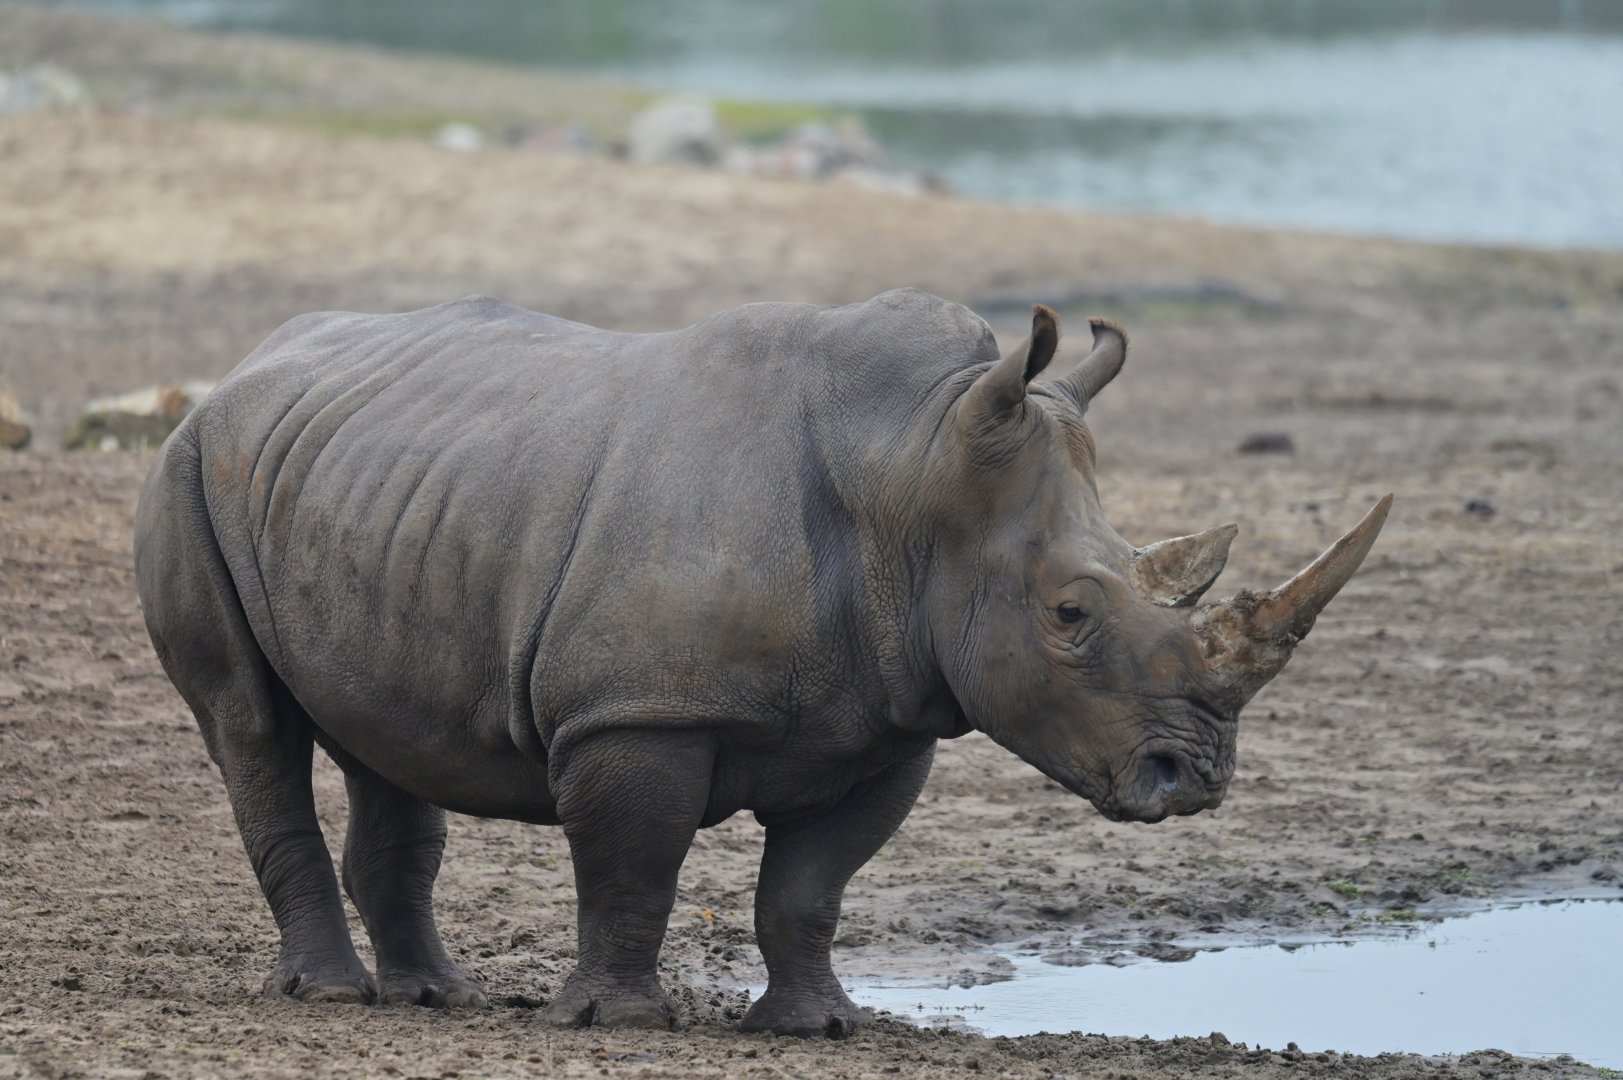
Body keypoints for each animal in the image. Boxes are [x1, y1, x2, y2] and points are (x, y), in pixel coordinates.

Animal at [134, 288, 1389, 1037]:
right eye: (1072, 612)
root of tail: (243, 367)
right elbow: (634, 865)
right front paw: (621, 1023)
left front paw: (817, 1024)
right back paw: (329, 994)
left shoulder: (892, 716)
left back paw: (433, 998)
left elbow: (812, 885)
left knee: (382, 733)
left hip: (374, 486)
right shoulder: (639, 708)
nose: (1198, 778)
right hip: (190, 466)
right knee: (251, 726)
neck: (915, 471)